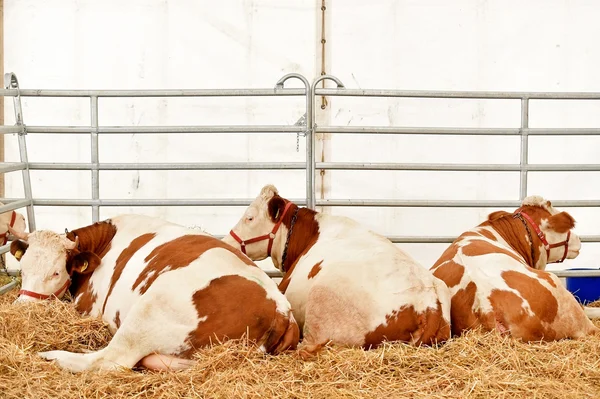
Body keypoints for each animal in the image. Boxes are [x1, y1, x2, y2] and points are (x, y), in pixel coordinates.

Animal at [8, 214, 298, 374]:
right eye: (22, 268)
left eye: (56, 273)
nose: (22, 309)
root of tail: (282, 310)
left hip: (150, 310)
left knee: (107, 360)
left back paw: (51, 355)